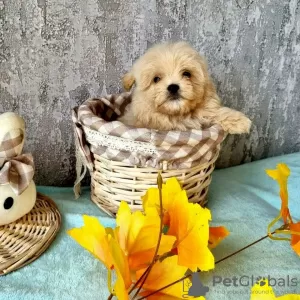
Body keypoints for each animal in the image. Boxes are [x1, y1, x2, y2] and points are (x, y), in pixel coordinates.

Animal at [119, 41, 251, 134]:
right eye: (156, 79)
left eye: (187, 74)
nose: (173, 87)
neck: (178, 115)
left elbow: (212, 112)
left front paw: (239, 121)